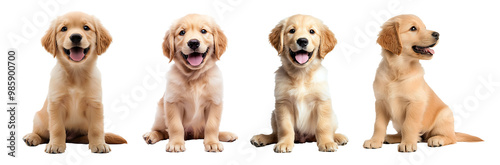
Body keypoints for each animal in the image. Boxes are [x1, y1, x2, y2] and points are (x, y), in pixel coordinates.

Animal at [22, 11, 127, 153]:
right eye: (64, 29)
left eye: (86, 27)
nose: (76, 37)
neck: (76, 73)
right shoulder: (56, 104)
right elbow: (57, 128)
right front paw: (55, 145)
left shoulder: (95, 104)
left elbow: (96, 128)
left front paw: (99, 144)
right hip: (39, 118)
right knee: (42, 134)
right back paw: (32, 137)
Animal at [142, 13, 237, 152]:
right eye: (182, 32)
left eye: (203, 31)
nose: (193, 42)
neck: (195, 76)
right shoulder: (172, 102)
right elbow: (175, 126)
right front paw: (176, 143)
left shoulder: (215, 102)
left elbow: (212, 125)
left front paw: (212, 142)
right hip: (160, 113)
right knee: (162, 131)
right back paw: (151, 135)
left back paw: (226, 135)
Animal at [249, 14, 348, 153]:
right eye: (292, 31)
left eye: (312, 31)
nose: (302, 41)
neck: (302, 74)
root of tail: (304, 139)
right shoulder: (283, 103)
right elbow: (285, 128)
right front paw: (284, 143)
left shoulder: (322, 101)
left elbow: (323, 126)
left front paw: (327, 143)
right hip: (274, 114)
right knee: (275, 134)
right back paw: (262, 138)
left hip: (333, 115)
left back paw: (338, 137)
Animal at [362, 14, 482, 152]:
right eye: (413, 28)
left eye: (425, 27)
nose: (437, 34)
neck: (398, 71)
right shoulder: (380, 102)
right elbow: (379, 124)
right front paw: (375, 141)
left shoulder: (416, 103)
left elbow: (409, 124)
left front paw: (408, 143)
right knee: (417, 136)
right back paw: (391, 137)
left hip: (444, 116)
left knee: (451, 138)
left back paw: (437, 139)